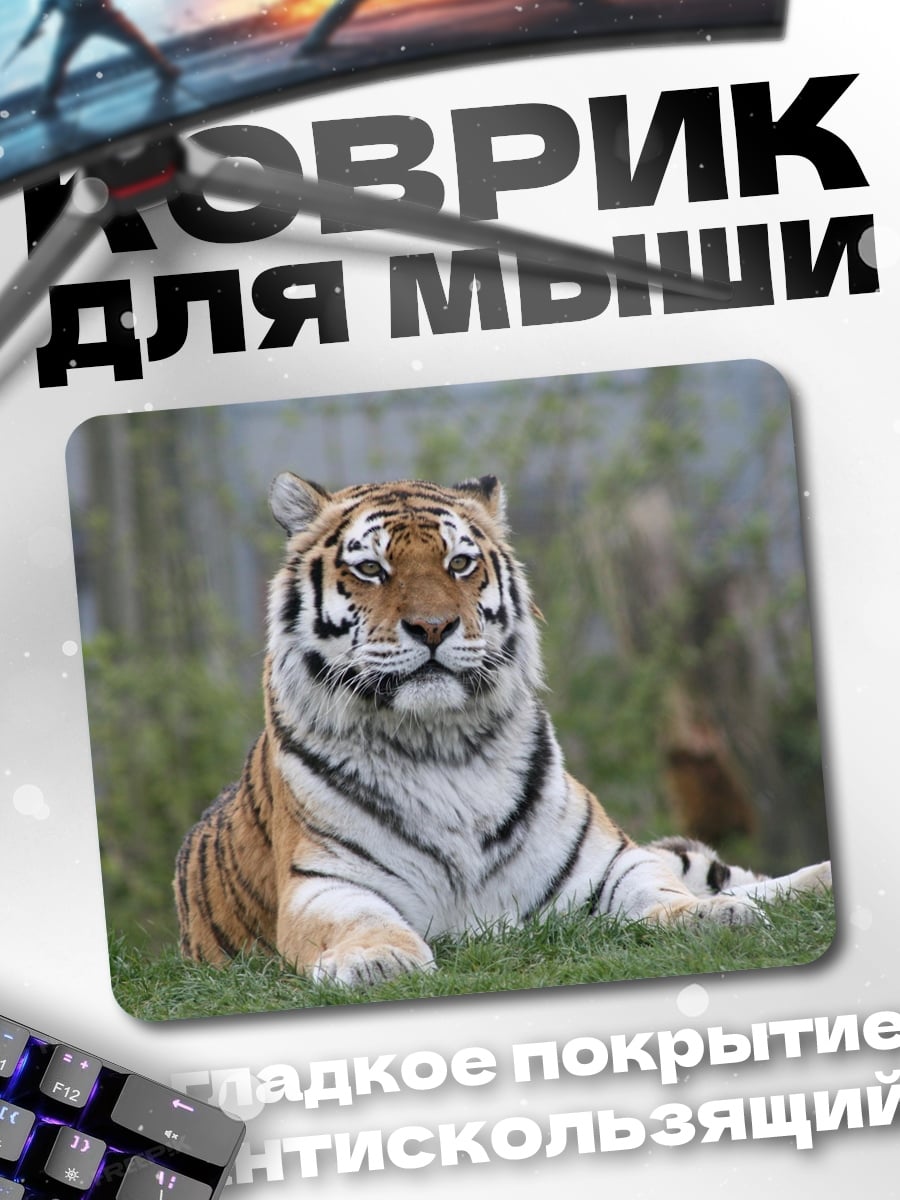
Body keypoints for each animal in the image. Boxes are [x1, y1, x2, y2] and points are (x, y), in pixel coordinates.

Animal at [174, 473, 831, 986]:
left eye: (459, 563)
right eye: (371, 569)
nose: (432, 627)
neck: (441, 747)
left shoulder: (607, 861)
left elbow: (663, 890)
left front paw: (705, 920)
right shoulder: (324, 882)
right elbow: (361, 921)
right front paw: (378, 960)